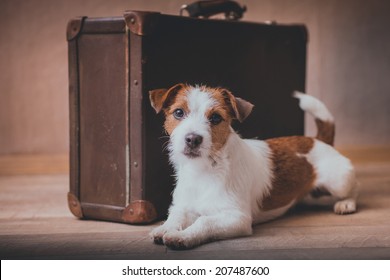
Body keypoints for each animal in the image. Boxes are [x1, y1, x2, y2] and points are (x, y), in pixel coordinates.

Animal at [148, 83, 358, 249]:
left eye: (215, 118)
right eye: (178, 112)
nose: (192, 139)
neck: (204, 169)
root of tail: (317, 140)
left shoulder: (237, 218)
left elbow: (204, 222)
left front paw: (182, 236)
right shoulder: (182, 206)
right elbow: (176, 216)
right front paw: (165, 228)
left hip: (339, 181)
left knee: (352, 189)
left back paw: (346, 203)